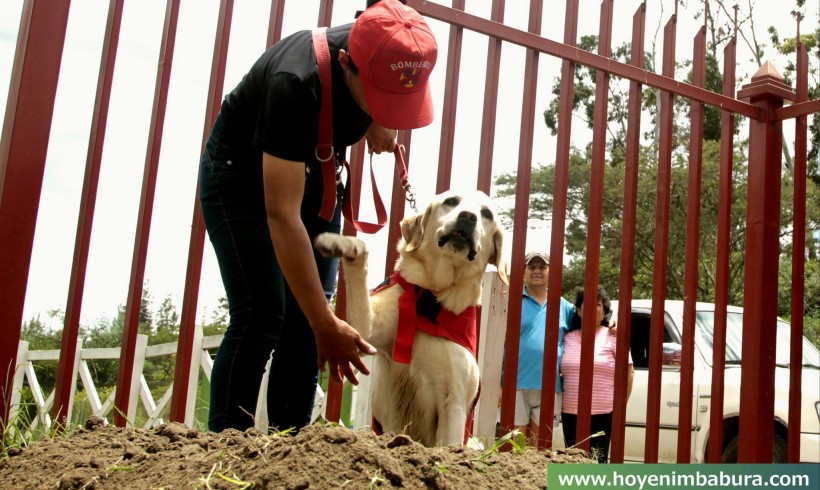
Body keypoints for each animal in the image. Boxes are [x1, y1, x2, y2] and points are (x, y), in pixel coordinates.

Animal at [314, 189, 506, 446]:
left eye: (487, 214)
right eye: (451, 201)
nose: (468, 217)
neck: (428, 298)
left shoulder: (453, 404)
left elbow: (447, 448)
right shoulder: (366, 330)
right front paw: (345, 244)